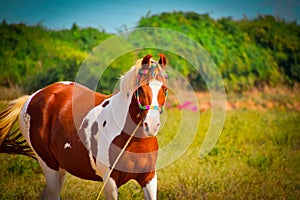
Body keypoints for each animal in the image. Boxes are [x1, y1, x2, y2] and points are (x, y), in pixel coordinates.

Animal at [0, 54, 169, 199]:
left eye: (164, 89)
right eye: (141, 88)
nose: (152, 125)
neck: (134, 140)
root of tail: (33, 96)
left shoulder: (149, 178)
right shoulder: (110, 182)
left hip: (61, 167)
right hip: (48, 164)